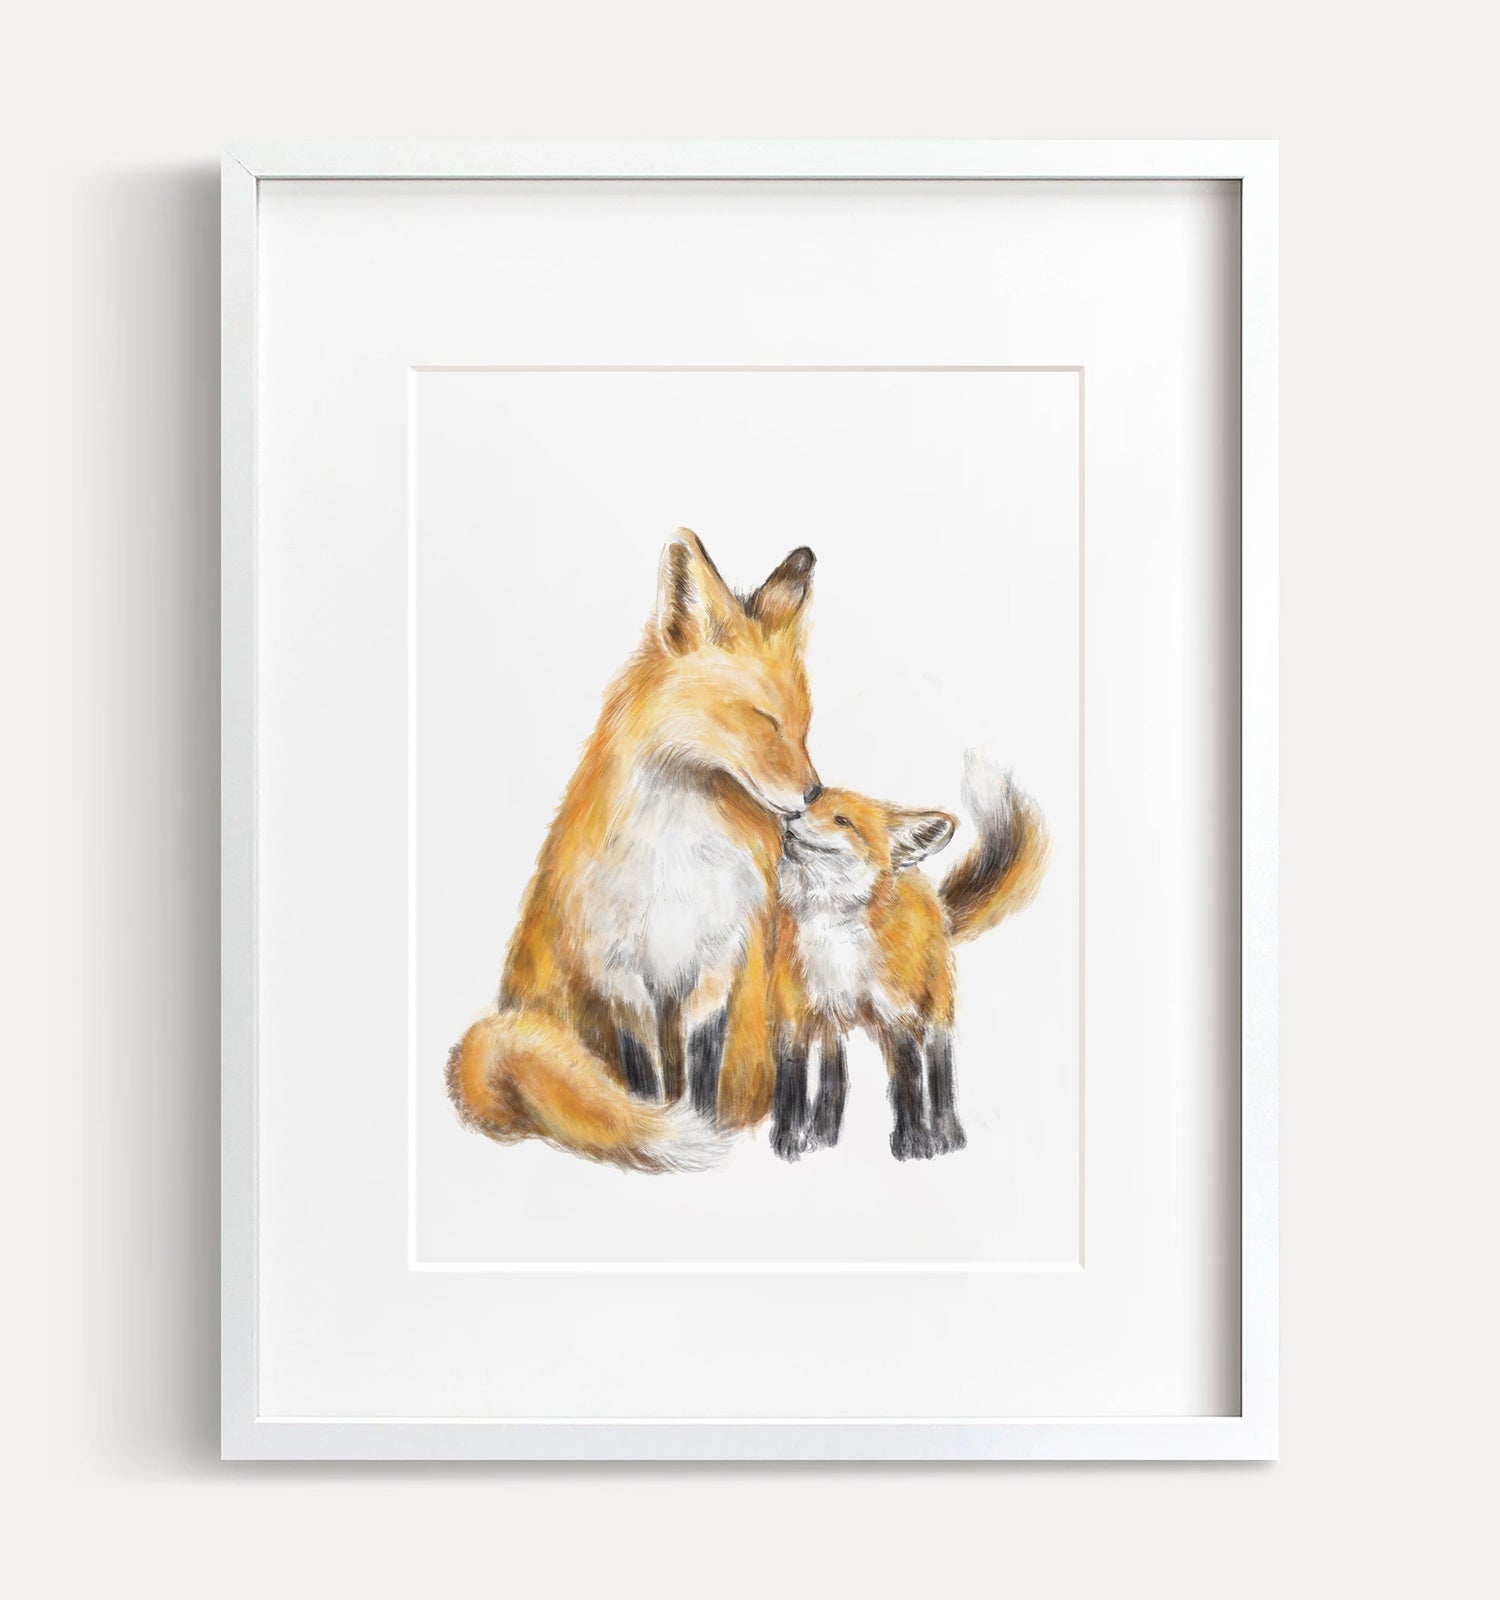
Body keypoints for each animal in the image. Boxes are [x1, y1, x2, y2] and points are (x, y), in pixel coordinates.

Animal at [447, 530, 821, 1172]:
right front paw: (667, 1130)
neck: (677, 856)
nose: (814, 794)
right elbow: (645, 1082)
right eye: (764, 720)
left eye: (804, 726)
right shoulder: (620, 976)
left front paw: (707, 1128)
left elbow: (701, 1072)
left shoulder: (715, 967)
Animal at [768, 753, 1050, 1162]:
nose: (790, 814)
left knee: (938, 1071)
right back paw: (824, 1134)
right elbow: (791, 1088)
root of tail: (931, 894)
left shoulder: (895, 1014)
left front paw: (914, 1142)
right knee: (835, 1079)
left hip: (934, 1013)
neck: (833, 935)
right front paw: (789, 1140)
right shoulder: (794, 1016)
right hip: (832, 1025)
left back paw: (948, 1134)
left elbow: (908, 1085)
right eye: (808, 807)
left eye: (842, 821)